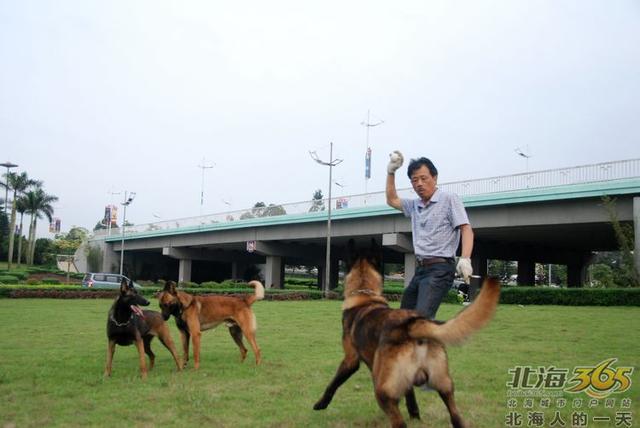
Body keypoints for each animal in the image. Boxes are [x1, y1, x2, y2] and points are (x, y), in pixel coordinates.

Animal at [314, 241, 500, 428]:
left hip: (383, 391)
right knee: (455, 416)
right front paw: (415, 414)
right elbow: (410, 394)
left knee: (398, 420)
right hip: (444, 386)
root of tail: (412, 325)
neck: (365, 296)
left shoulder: (350, 360)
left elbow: (333, 383)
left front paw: (320, 403)